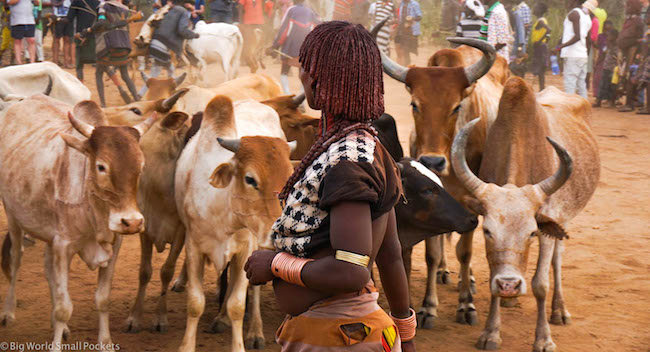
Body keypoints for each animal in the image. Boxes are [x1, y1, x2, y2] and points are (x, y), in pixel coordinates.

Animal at [0, 95, 156, 350]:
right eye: (101, 166)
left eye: (141, 167)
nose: (131, 222)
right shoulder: (64, 246)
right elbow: (65, 308)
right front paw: (55, 344)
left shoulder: (114, 244)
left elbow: (102, 300)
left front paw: (105, 343)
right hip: (13, 216)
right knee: (15, 260)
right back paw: (8, 313)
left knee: (48, 270)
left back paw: (58, 327)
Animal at [173, 95, 292, 350]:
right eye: (250, 179)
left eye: (288, 179)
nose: (274, 233)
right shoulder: (194, 248)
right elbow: (195, 303)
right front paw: (187, 345)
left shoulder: (245, 249)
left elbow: (237, 304)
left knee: (253, 289)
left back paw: (254, 331)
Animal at [370, 18, 502, 328]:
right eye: (414, 104)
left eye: (457, 106)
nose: (432, 161)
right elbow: (431, 253)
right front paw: (429, 307)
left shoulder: (470, 203)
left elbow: (465, 252)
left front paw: (466, 304)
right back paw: (443, 271)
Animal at [450, 77, 596, 352]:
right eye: (487, 231)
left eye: (530, 233)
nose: (509, 285)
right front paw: (491, 333)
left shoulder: (547, 227)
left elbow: (541, 284)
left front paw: (543, 339)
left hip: (563, 220)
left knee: (557, 260)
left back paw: (559, 310)